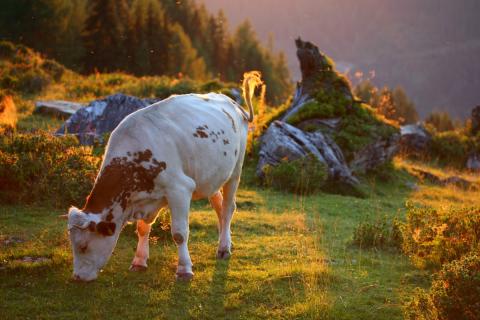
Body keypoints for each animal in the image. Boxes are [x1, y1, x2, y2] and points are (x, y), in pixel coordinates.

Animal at [66, 72, 262, 280]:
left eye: (83, 246)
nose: (77, 277)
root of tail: (233, 103)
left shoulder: (180, 189)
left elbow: (179, 233)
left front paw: (184, 269)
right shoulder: (147, 197)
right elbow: (142, 228)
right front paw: (139, 261)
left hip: (235, 171)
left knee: (228, 207)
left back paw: (224, 248)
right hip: (210, 176)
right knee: (219, 206)